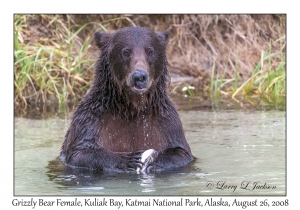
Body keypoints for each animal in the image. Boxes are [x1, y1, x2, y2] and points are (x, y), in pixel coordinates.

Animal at [59, 26, 193, 172]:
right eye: (126, 52)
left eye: (150, 51)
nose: (139, 76)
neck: (132, 108)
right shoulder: (91, 119)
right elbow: (81, 152)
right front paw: (130, 160)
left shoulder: (166, 122)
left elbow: (180, 151)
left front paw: (153, 161)